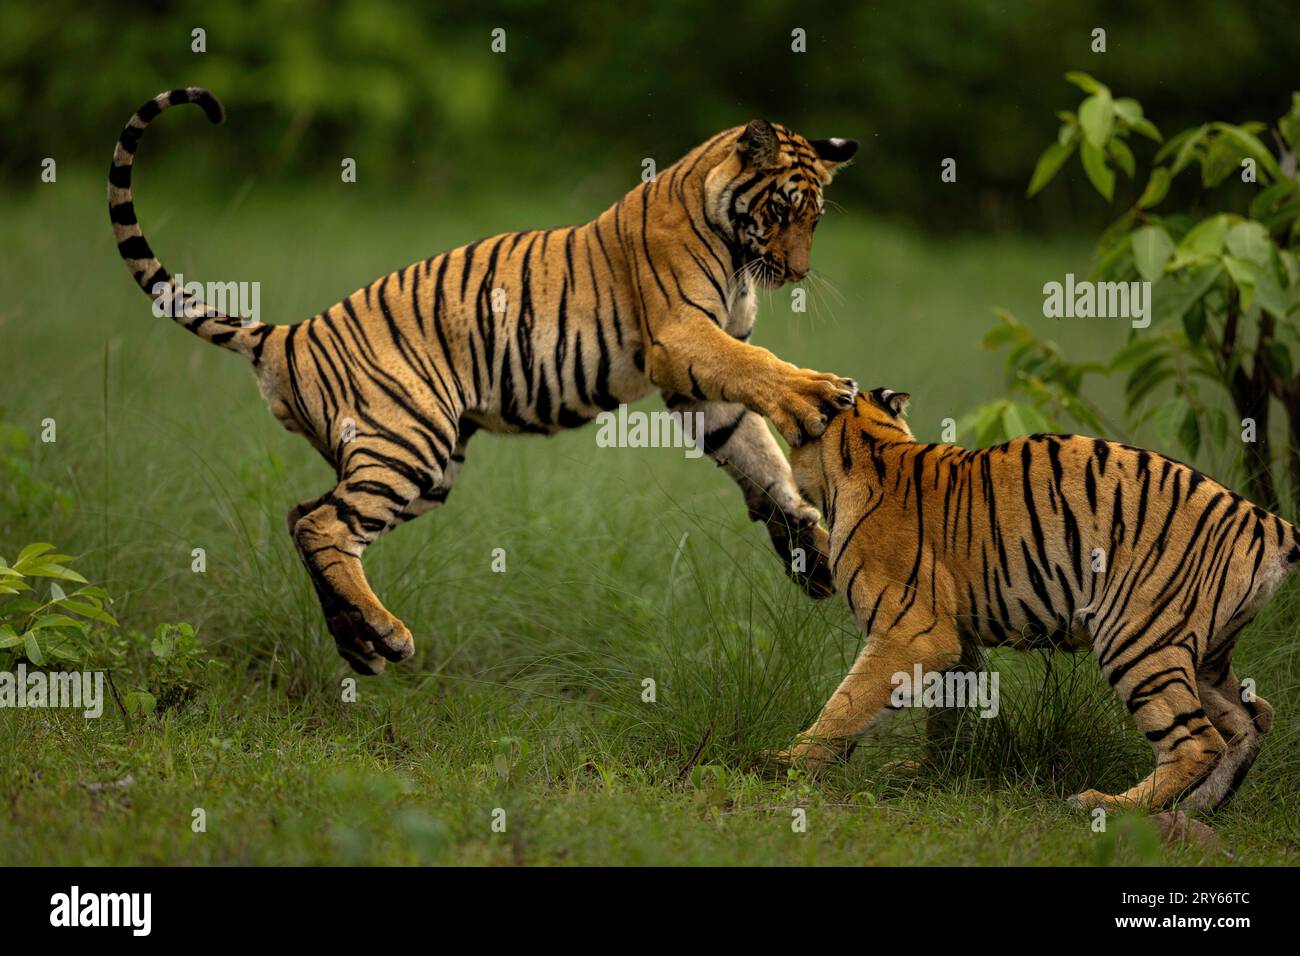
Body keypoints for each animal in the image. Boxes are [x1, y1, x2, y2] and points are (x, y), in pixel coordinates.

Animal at [108, 87, 861, 675]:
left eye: (816, 219)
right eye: (782, 211)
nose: (796, 273)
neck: (732, 244)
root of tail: (290, 333)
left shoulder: (698, 388)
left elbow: (758, 458)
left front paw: (812, 547)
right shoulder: (682, 339)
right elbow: (762, 374)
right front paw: (821, 395)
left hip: (420, 464)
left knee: (302, 517)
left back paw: (359, 644)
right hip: (407, 443)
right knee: (322, 525)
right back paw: (388, 635)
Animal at [774, 387, 1297, 812]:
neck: (872, 444)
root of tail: (1267, 521)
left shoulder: (913, 633)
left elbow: (847, 704)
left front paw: (786, 762)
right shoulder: (957, 642)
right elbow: (945, 714)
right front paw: (927, 772)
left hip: (1139, 639)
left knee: (1197, 742)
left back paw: (1110, 806)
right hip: (1204, 653)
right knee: (1252, 717)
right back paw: (1199, 808)